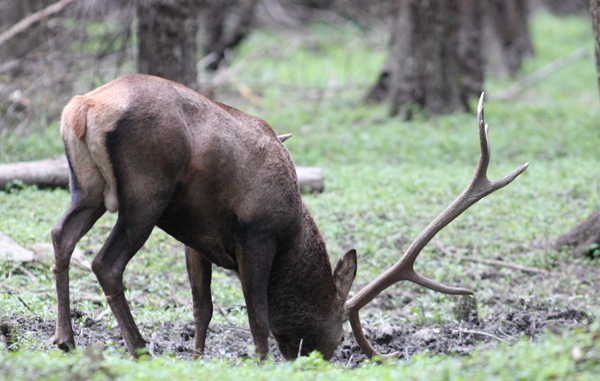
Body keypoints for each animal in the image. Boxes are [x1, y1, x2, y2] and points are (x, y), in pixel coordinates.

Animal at [50, 73, 528, 360]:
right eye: (339, 335)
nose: (316, 360)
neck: (294, 227)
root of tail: (82, 108)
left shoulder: (196, 238)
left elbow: (202, 307)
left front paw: (199, 358)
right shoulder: (255, 234)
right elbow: (257, 315)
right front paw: (261, 362)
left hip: (87, 188)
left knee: (60, 235)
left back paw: (66, 338)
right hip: (146, 193)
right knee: (106, 262)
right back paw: (139, 348)